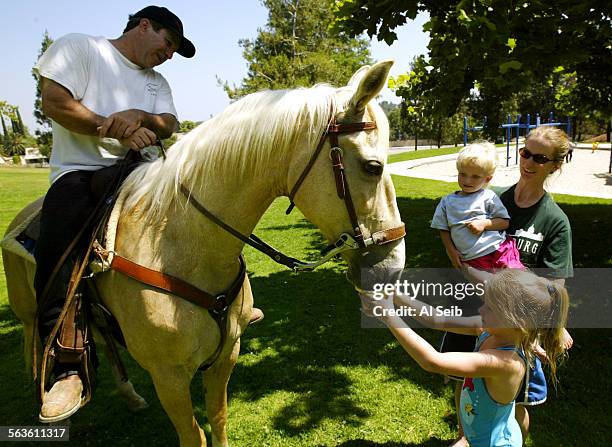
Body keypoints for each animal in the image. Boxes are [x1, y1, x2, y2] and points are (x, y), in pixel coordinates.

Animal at [4, 60, 408, 447]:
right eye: (373, 166)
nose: (393, 266)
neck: (180, 246)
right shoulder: (168, 376)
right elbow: (193, 436)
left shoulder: (226, 355)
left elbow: (218, 418)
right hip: (30, 312)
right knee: (33, 342)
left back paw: (129, 396)